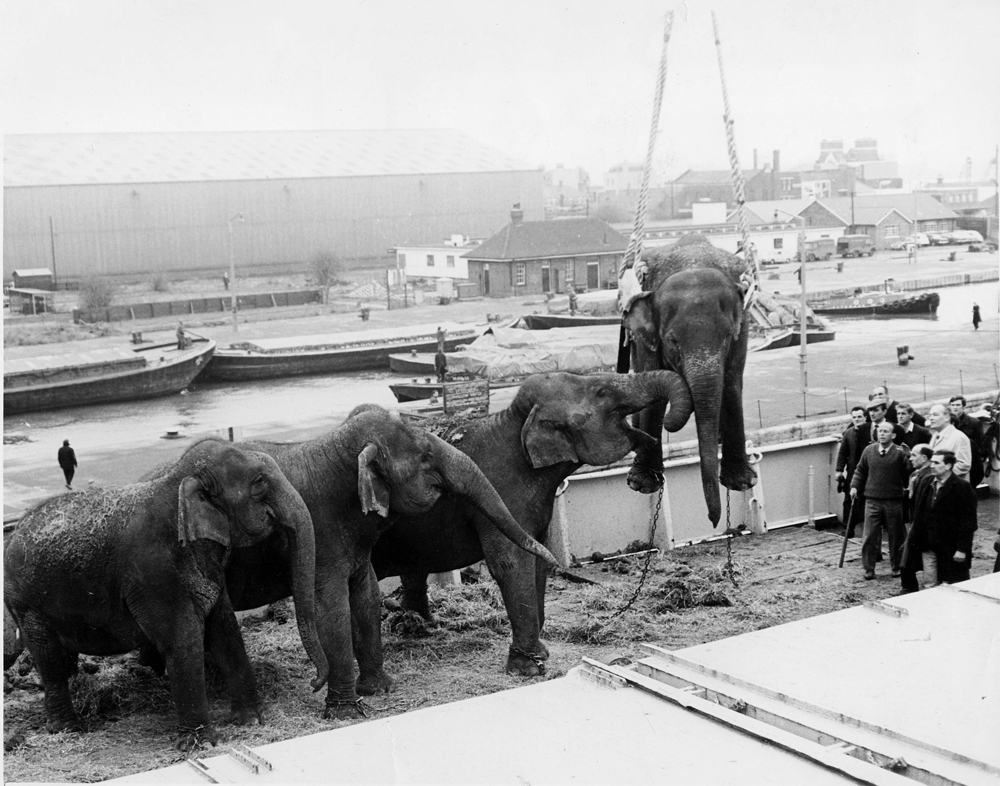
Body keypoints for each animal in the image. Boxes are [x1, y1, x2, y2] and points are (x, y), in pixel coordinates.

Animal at [2, 440, 324, 748]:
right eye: (259, 483)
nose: (314, 683)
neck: (177, 483)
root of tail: (13, 534)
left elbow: (225, 629)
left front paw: (252, 720)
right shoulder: (152, 574)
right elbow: (182, 639)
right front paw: (200, 744)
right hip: (25, 603)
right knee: (49, 658)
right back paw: (68, 729)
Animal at [221, 408, 564, 720]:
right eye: (425, 457)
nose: (555, 559)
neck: (335, 447)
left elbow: (366, 594)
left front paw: (380, 689)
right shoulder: (318, 533)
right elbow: (331, 607)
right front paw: (347, 713)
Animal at [372, 370, 692, 672]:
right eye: (602, 392)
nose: (665, 427)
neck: (516, 420)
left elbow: (539, 555)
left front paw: (542, 652)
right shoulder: (502, 492)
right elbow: (512, 562)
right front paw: (529, 667)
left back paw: (418, 626)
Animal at [620, 236, 752, 524]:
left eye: (727, 337)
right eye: (673, 341)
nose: (713, 521)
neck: (693, 261)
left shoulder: (744, 325)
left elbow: (731, 384)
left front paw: (741, 483)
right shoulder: (646, 337)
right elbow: (653, 387)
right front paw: (643, 484)